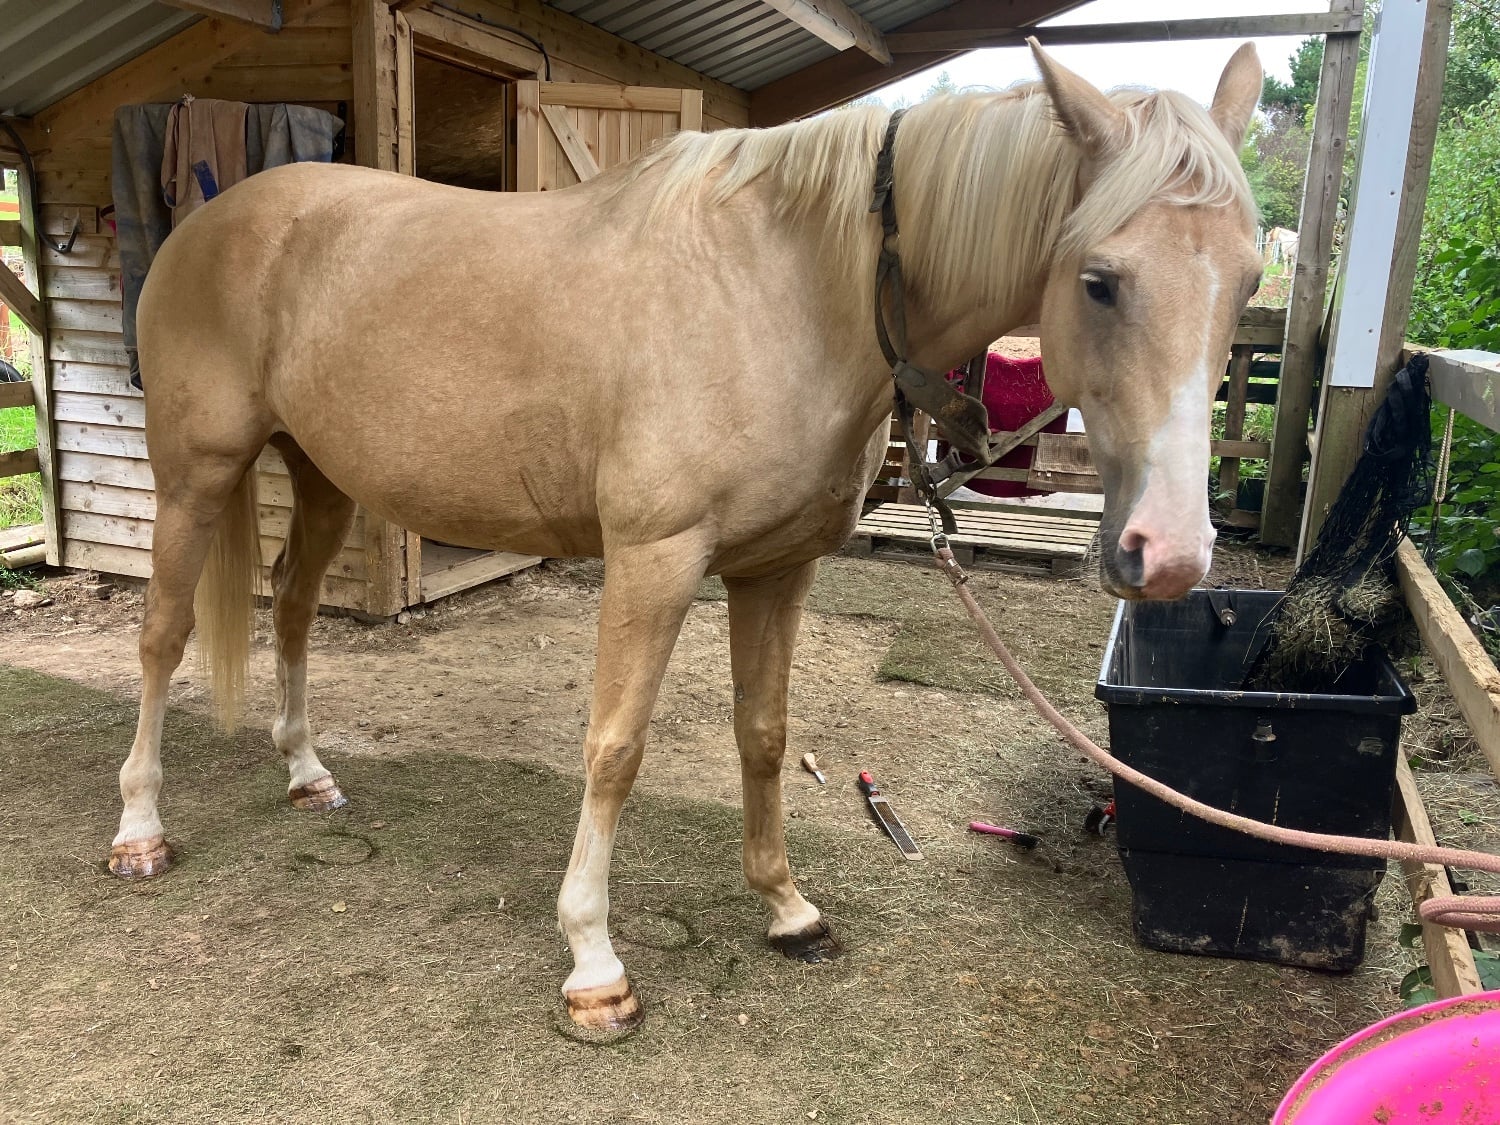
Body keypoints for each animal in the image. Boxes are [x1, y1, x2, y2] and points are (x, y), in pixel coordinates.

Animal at [109, 41, 1264, 1031]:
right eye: (1099, 279)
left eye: (1249, 279)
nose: (1172, 553)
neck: (796, 288)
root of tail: (212, 221)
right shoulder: (655, 560)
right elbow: (615, 747)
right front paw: (593, 962)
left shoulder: (777, 570)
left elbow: (764, 734)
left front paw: (788, 908)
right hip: (196, 474)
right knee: (162, 637)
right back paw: (139, 831)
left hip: (321, 475)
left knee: (296, 604)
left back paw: (306, 772)